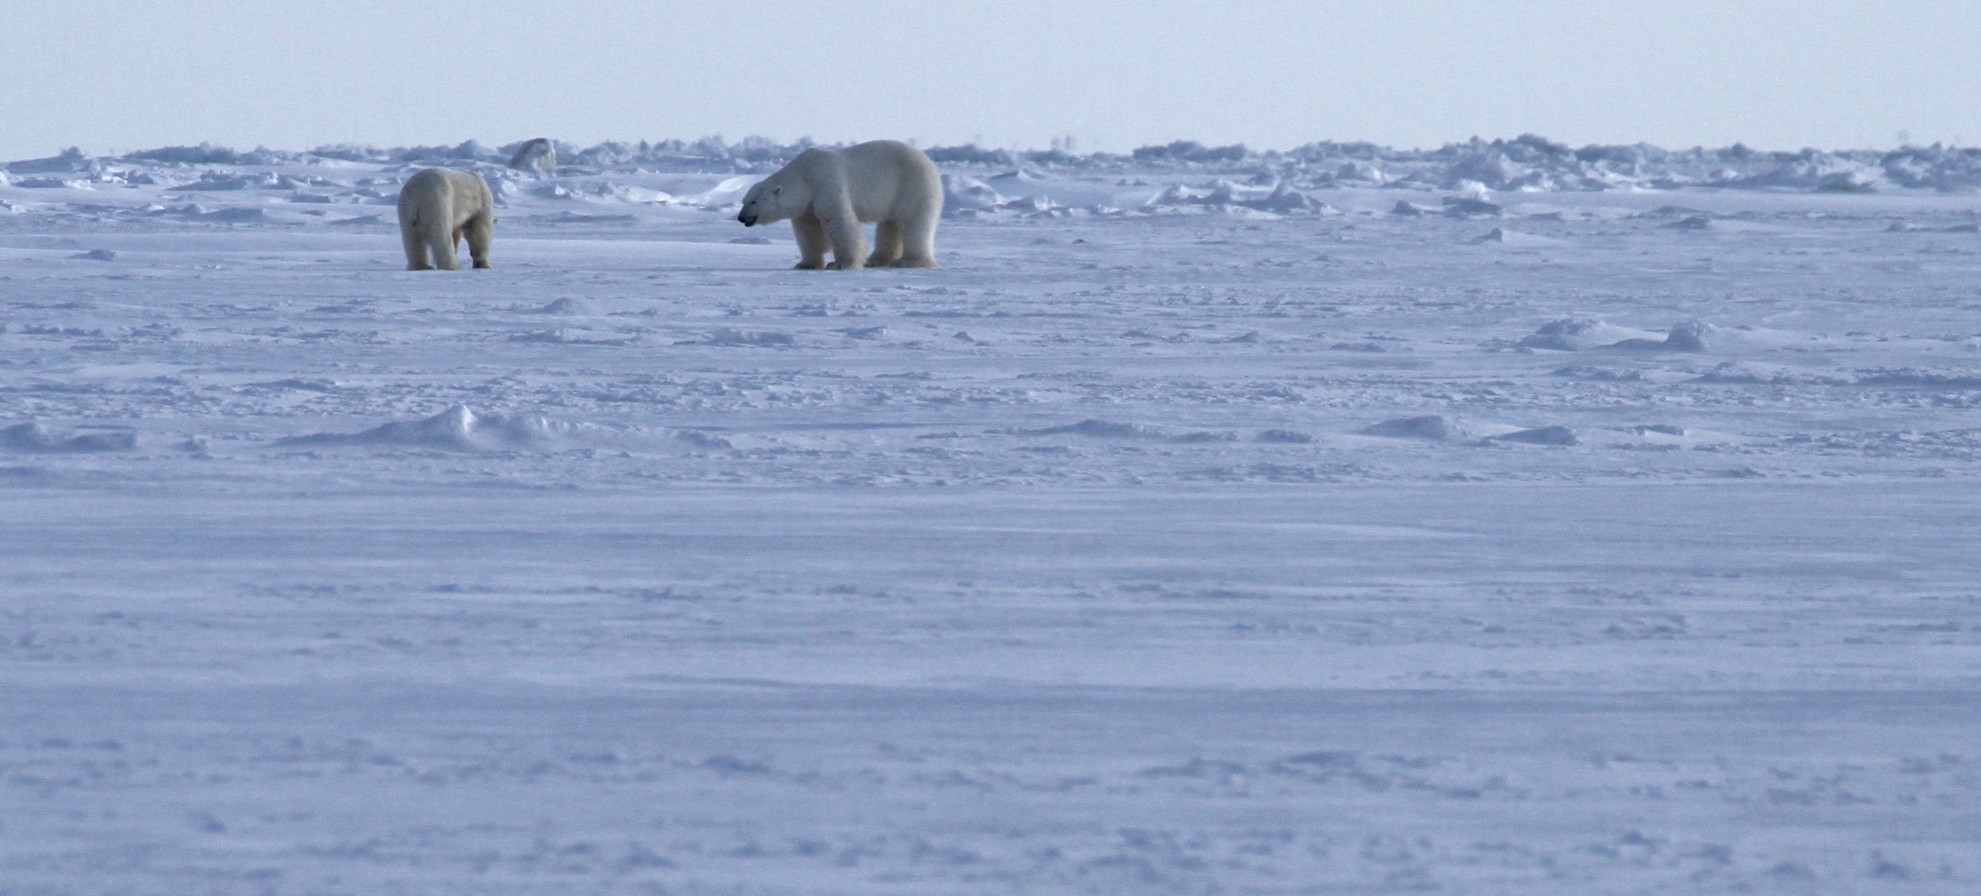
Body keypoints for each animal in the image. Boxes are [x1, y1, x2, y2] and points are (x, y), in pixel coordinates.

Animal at [736, 140, 942, 270]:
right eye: (744, 200)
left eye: (753, 201)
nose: (741, 217)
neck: (804, 177)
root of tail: (931, 164)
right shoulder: (807, 205)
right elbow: (809, 231)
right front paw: (806, 264)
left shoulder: (828, 184)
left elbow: (840, 222)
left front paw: (842, 263)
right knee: (889, 224)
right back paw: (876, 260)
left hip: (913, 185)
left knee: (912, 222)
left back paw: (910, 261)